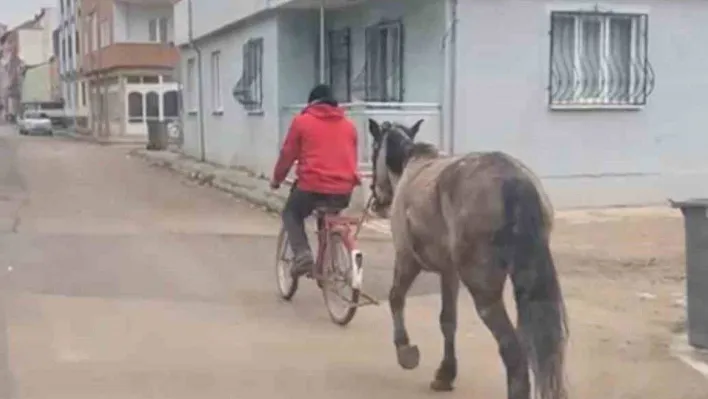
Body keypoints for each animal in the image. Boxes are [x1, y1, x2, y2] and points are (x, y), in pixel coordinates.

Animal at [368, 119, 568, 399]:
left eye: (374, 148)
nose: (377, 201)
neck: (413, 163)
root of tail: (514, 181)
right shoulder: (449, 272)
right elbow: (448, 320)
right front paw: (446, 373)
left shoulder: (407, 259)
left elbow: (396, 297)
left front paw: (406, 353)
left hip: (483, 291)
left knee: (513, 352)